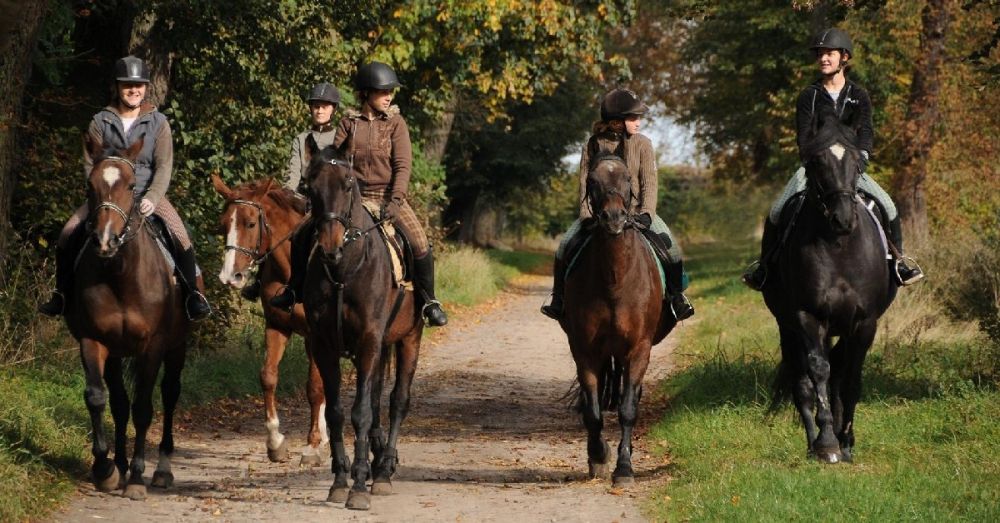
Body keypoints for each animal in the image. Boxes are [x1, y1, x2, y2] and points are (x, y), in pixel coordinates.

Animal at [64, 134, 191, 500]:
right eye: (89, 186)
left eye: (133, 186)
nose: (105, 240)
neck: (120, 273)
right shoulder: (94, 341)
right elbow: (98, 398)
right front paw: (105, 469)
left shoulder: (154, 346)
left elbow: (144, 407)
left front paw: (136, 478)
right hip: (117, 354)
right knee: (119, 404)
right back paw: (118, 466)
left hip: (177, 347)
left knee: (170, 393)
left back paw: (161, 470)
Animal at [212, 176, 328, 466]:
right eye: (223, 225)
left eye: (251, 223)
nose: (229, 276)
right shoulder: (277, 327)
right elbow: (268, 376)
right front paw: (275, 441)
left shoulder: (316, 335)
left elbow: (314, 386)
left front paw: (312, 446)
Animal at [298, 139, 420, 512]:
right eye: (310, 185)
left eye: (347, 182)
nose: (330, 248)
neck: (344, 272)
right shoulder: (325, 345)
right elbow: (337, 412)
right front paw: (341, 480)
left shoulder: (368, 341)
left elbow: (362, 412)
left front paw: (360, 488)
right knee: (379, 401)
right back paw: (376, 464)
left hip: (409, 338)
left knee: (397, 401)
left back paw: (382, 471)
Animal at [560, 150, 676, 488]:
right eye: (592, 181)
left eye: (627, 179)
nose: (613, 219)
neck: (615, 279)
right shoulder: (584, 350)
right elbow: (592, 410)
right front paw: (598, 456)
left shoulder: (639, 350)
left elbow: (627, 409)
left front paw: (624, 468)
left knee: (632, 397)